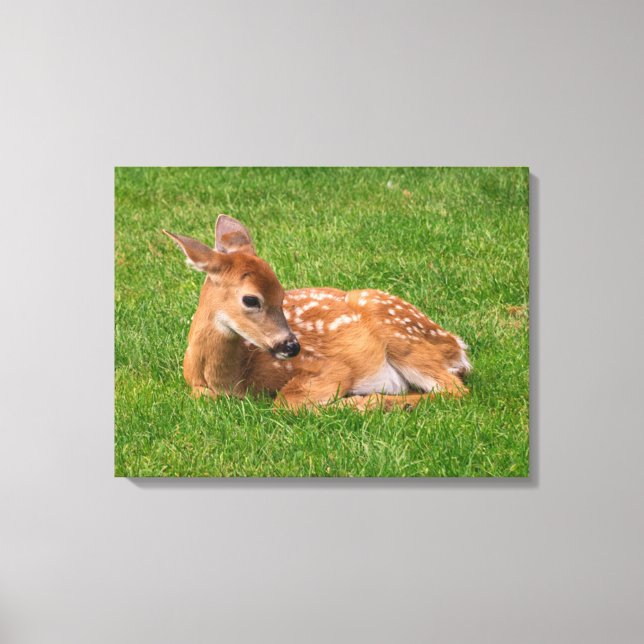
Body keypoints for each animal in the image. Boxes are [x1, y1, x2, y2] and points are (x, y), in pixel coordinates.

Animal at [162, 215, 471, 412]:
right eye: (251, 299)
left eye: (282, 294)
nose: (292, 346)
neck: (233, 377)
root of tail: (457, 346)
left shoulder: (330, 367)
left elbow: (285, 402)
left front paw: (352, 401)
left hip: (401, 335)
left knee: (455, 390)